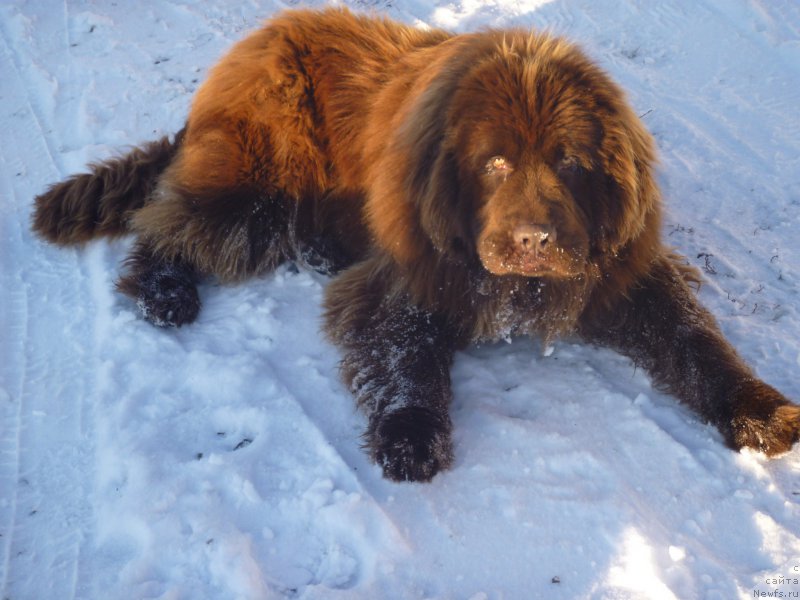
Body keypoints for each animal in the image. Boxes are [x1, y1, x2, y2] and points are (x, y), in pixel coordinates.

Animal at [34, 7, 800, 480]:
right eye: (494, 163)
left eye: (569, 163)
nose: (533, 238)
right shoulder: (409, 272)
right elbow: (405, 351)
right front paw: (409, 433)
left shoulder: (624, 272)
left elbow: (695, 342)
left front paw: (761, 410)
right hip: (257, 180)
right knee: (171, 221)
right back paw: (165, 291)